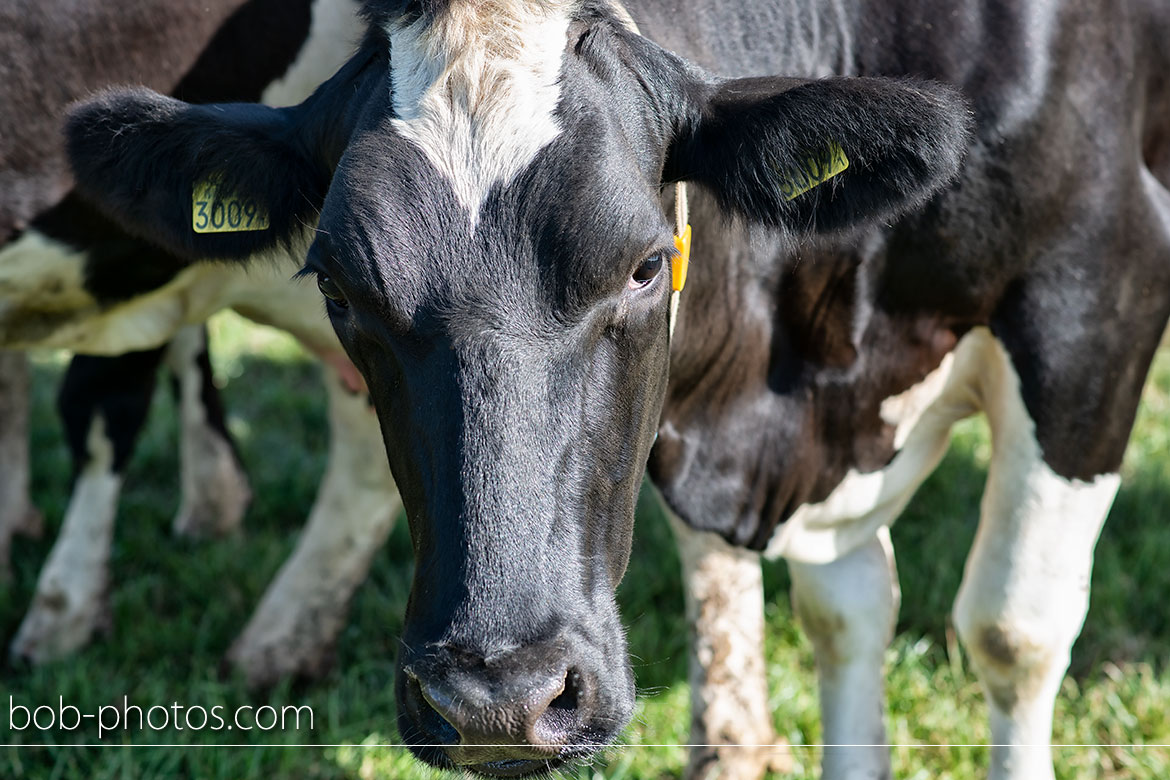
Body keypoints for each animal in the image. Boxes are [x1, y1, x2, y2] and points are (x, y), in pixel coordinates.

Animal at [61, 1, 1170, 780]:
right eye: (336, 285)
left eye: (644, 266)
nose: (497, 702)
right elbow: (847, 615)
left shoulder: (1097, 293)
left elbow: (1012, 632)